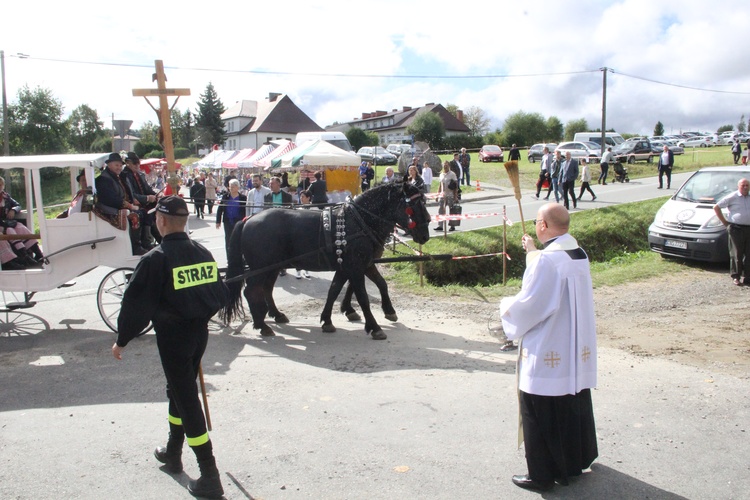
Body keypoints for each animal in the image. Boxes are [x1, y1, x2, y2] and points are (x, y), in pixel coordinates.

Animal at [223, 183, 432, 340]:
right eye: (413, 205)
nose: (425, 235)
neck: (360, 221)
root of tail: (249, 218)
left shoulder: (360, 264)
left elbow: (344, 289)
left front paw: (329, 320)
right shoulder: (355, 267)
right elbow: (362, 296)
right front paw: (374, 326)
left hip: (271, 268)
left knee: (265, 289)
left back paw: (276, 315)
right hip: (260, 268)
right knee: (251, 291)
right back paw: (261, 324)